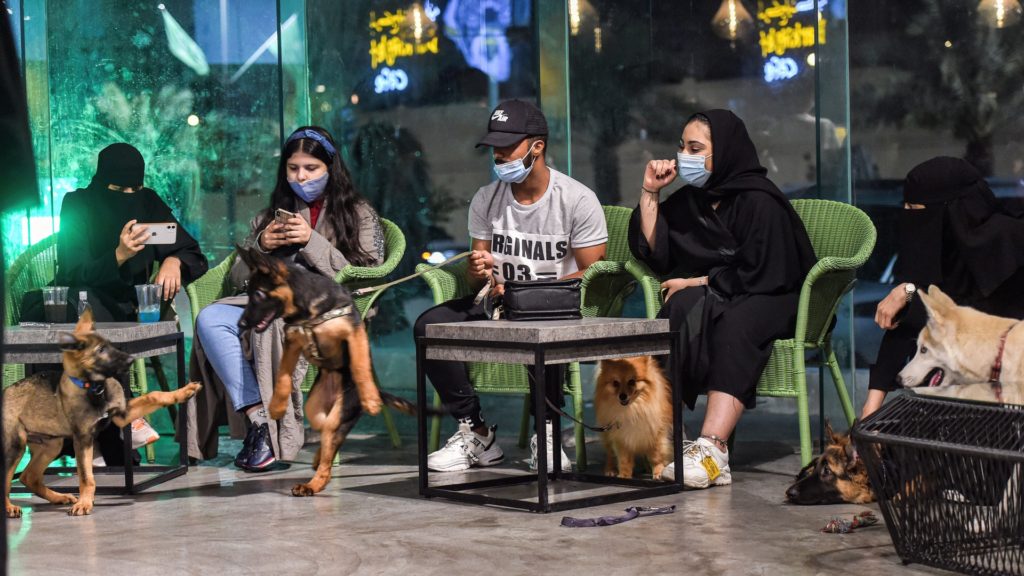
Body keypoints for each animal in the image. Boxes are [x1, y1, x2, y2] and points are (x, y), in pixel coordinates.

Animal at [4, 309, 201, 516]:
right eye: (100, 350)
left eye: (111, 345)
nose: (131, 360)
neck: (95, 388)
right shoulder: (82, 439)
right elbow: (85, 476)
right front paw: (84, 502)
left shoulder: (122, 414)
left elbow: (154, 396)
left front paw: (185, 391)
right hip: (15, 445)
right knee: (8, 479)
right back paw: (10, 507)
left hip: (51, 444)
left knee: (29, 477)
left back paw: (59, 497)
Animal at [236, 249, 436, 496]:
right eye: (248, 293)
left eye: (259, 295)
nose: (241, 324)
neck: (308, 310)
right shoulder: (292, 342)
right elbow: (283, 375)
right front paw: (276, 406)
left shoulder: (354, 332)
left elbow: (360, 364)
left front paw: (370, 400)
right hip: (315, 410)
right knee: (325, 439)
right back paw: (315, 466)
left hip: (340, 413)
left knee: (329, 453)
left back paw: (314, 483)